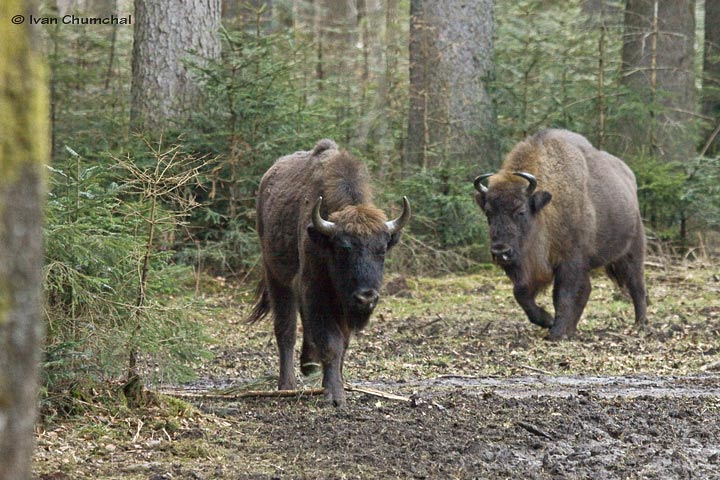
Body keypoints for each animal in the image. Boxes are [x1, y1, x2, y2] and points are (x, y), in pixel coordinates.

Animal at [246, 138, 410, 404]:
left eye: (382, 249)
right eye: (343, 249)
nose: (366, 297)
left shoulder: (343, 303)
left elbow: (343, 343)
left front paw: (338, 382)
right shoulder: (315, 289)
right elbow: (330, 341)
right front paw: (334, 394)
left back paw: (309, 364)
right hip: (276, 276)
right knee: (286, 329)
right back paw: (287, 383)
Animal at [472, 129, 648, 340]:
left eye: (521, 211)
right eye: (488, 213)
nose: (500, 252)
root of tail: (629, 178)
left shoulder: (570, 261)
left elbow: (562, 295)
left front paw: (556, 332)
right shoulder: (528, 266)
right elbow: (521, 293)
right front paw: (548, 321)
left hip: (632, 251)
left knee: (637, 285)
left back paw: (640, 324)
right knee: (590, 289)